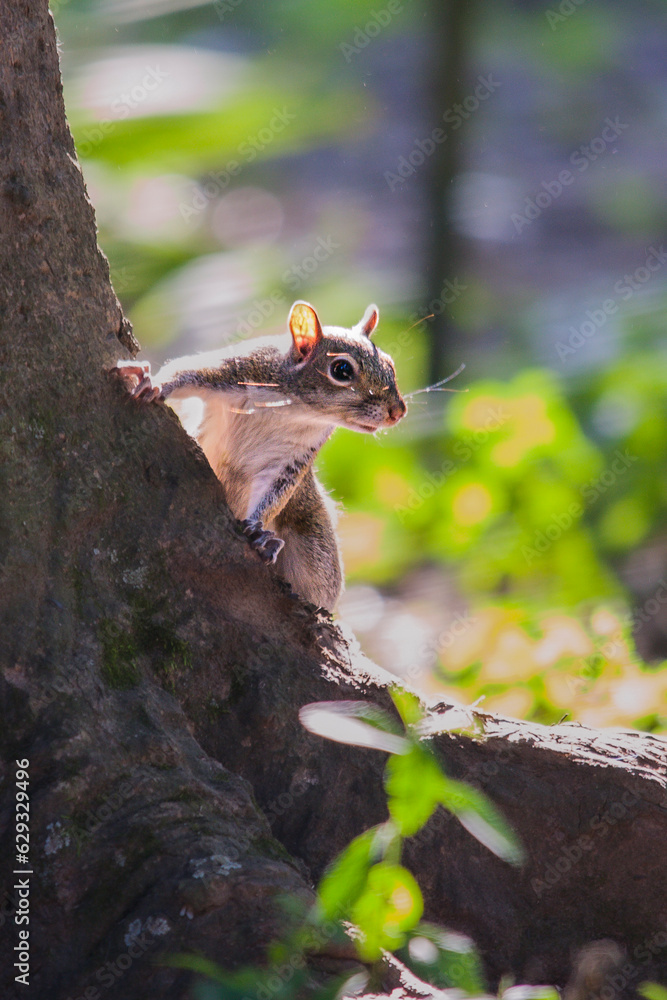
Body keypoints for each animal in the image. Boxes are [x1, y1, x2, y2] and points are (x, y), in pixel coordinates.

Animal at [116, 300, 406, 610]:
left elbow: (275, 491)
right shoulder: (238, 370)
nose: (398, 411)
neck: (296, 408)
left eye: (390, 363)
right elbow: (186, 372)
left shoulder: (293, 457)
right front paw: (155, 383)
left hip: (314, 544)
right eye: (341, 369)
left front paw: (257, 528)